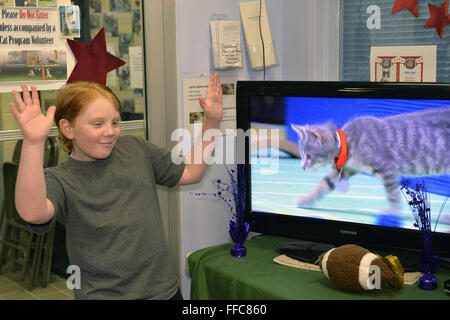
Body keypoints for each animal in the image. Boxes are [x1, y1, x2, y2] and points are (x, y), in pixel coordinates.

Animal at [292, 107, 450, 215]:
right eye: (301, 154)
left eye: (309, 156)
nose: (302, 167)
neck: (347, 143)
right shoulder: (344, 169)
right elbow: (323, 185)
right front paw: (306, 199)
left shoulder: (387, 167)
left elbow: (392, 193)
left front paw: (393, 211)